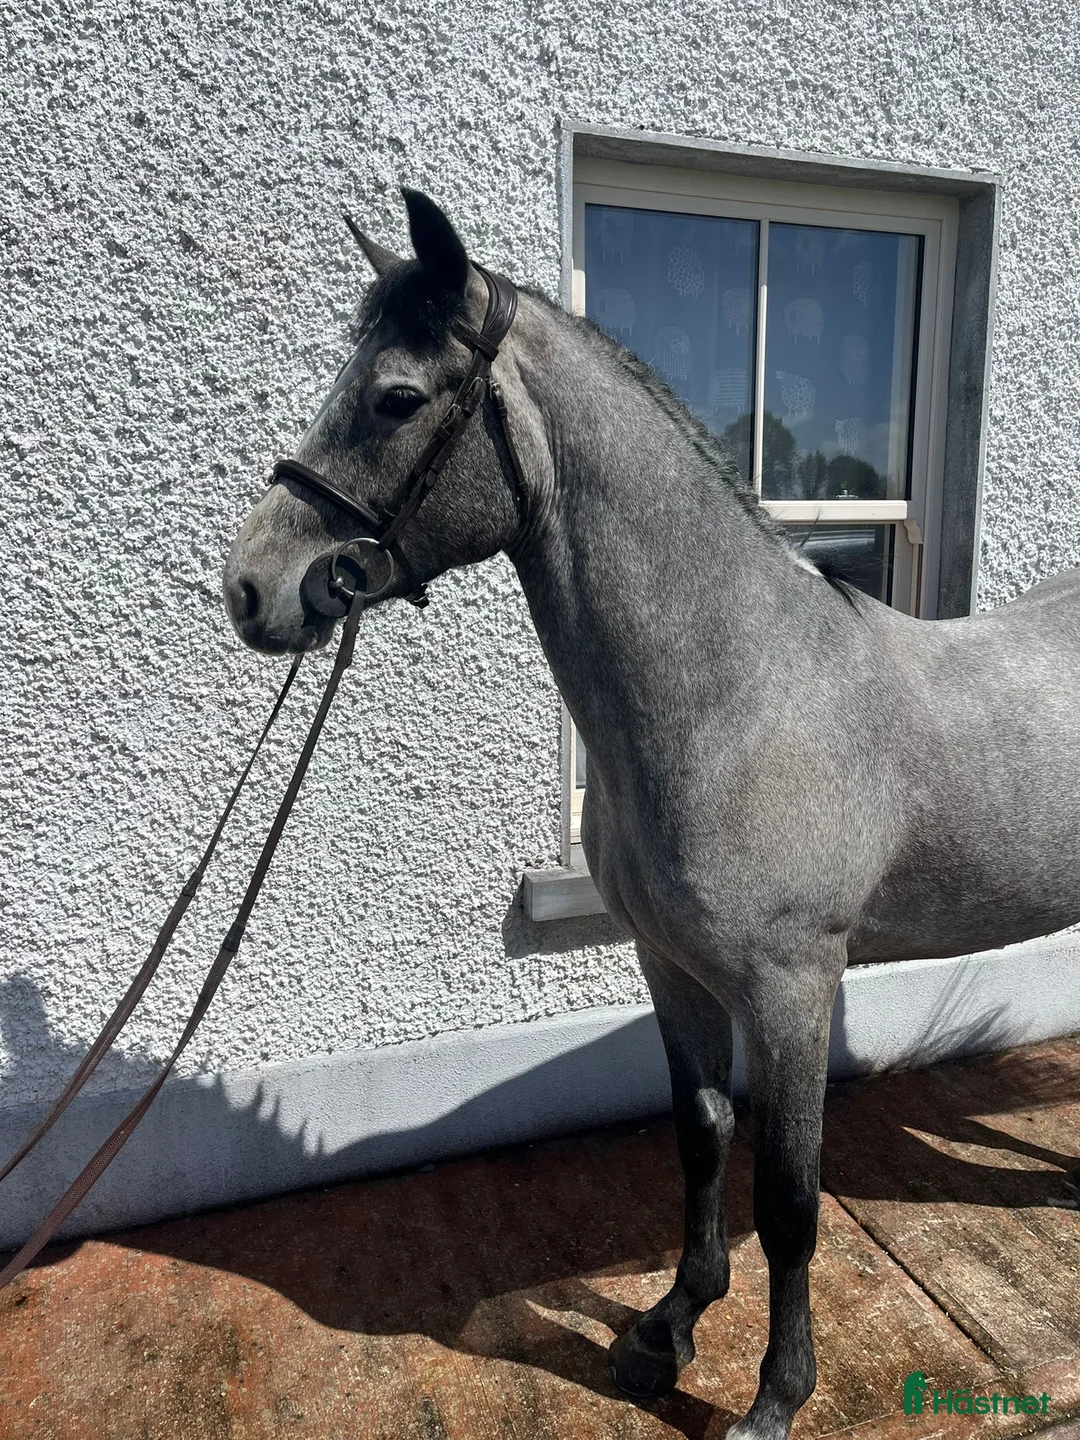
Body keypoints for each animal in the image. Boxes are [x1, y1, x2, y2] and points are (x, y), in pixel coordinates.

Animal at [224, 188, 1080, 1439]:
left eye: (396, 398)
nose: (249, 587)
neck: (741, 691)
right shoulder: (671, 967)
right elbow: (701, 1136)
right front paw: (669, 1327)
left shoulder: (790, 987)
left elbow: (788, 1196)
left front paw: (774, 1397)